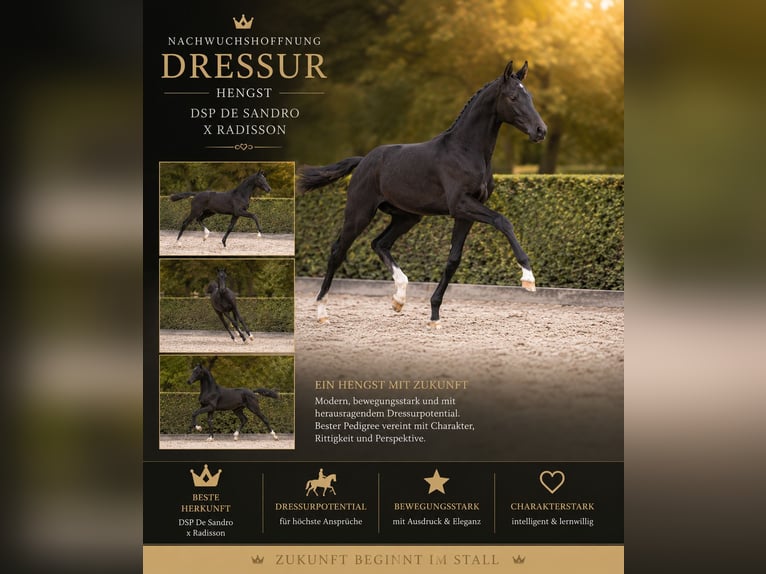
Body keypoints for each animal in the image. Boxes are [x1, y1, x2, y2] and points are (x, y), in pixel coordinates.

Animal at [297, 60, 547, 327]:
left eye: (530, 96)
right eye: (513, 97)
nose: (540, 130)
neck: (465, 151)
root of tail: (363, 160)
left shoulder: (465, 213)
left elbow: (453, 259)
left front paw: (434, 314)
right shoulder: (461, 205)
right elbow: (503, 221)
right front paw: (528, 278)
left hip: (407, 217)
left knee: (380, 243)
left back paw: (399, 299)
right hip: (359, 213)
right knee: (338, 251)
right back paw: (322, 311)